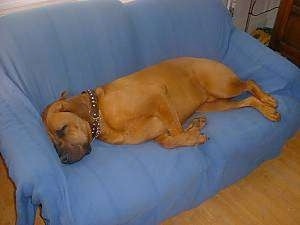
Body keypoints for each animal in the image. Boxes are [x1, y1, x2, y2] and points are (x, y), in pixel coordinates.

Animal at [42, 57, 282, 163]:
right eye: (53, 144)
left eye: (62, 129)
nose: (62, 160)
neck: (101, 114)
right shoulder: (158, 133)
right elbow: (168, 141)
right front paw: (193, 131)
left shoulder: (157, 96)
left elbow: (176, 130)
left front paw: (191, 133)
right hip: (218, 104)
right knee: (248, 100)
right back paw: (265, 108)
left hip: (222, 86)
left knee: (250, 82)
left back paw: (268, 99)